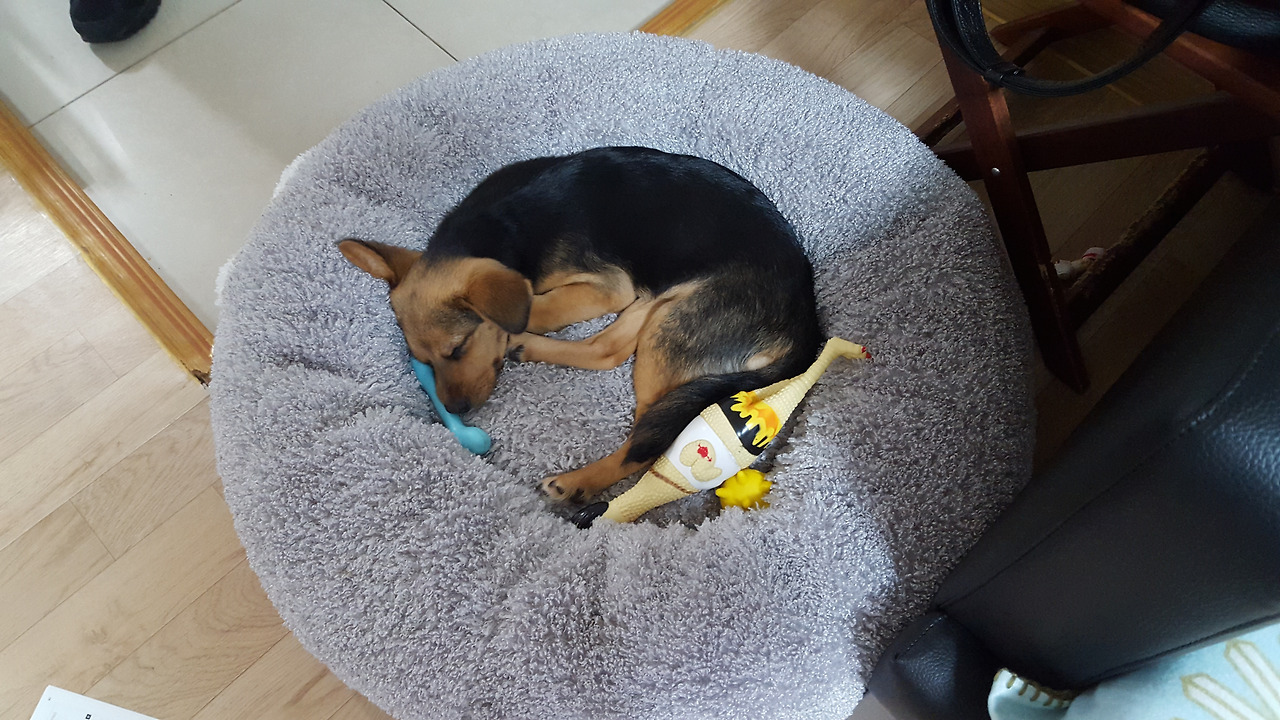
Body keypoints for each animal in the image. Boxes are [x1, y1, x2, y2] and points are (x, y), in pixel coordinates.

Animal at [339, 146, 821, 503]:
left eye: (457, 349)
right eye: (421, 360)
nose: (455, 410)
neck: (495, 226)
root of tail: (807, 327)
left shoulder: (608, 287)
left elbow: (535, 305)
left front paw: (514, 327)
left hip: (672, 320)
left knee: (649, 443)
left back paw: (578, 482)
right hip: (658, 300)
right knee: (607, 352)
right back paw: (530, 349)